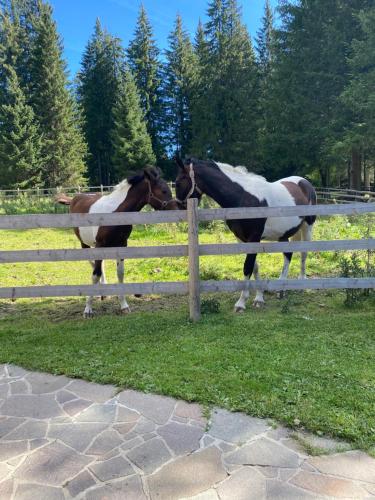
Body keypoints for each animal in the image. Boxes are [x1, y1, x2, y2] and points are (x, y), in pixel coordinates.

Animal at [57, 168, 178, 316]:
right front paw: (88, 309)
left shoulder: (121, 245)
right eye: (163, 191)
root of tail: (75, 198)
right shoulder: (100, 245)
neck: (115, 213)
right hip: (84, 244)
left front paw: (124, 305)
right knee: (93, 265)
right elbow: (95, 274)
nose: (177, 208)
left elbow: (120, 273)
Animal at [176, 158, 318, 312]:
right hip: (283, 234)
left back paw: (301, 282)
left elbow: (248, 267)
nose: (178, 207)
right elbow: (254, 266)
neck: (243, 197)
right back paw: (281, 289)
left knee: (303, 253)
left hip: (307, 226)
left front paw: (241, 303)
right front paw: (259, 298)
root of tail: (304, 182)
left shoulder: (254, 237)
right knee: (288, 255)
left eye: (179, 182)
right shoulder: (242, 239)